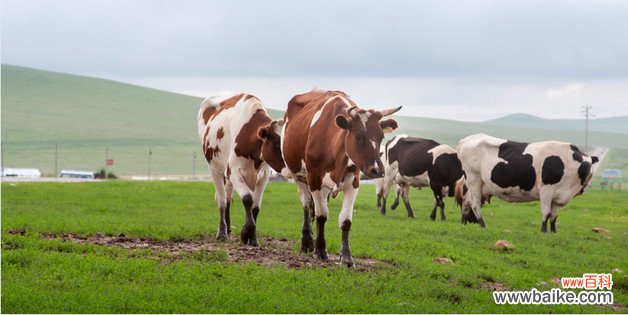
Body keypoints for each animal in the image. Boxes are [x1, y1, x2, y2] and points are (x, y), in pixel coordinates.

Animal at [196, 92, 284, 246]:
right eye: (276, 143)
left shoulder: (264, 176)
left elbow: (256, 206)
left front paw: (253, 238)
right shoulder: (234, 172)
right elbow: (248, 199)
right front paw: (245, 233)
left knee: (228, 198)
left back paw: (229, 230)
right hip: (215, 170)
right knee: (222, 200)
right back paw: (222, 232)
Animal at [282, 89, 400, 270]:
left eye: (381, 137)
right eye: (358, 136)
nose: (378, 170)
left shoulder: (354, 183)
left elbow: (345, 221)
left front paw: (346, 257)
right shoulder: (314, 178)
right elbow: (321, 216)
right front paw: (320, 250)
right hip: (299, 177)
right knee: (306, 204)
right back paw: (308, 242)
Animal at [456, 133, 600, 232]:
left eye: (591, 165)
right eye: (586, 166)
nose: (589, 174)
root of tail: (466, 140)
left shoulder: (557, 195)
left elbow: (554, 216)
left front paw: (553, 232)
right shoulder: (546, 189)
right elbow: (546, 212)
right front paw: (543, 232)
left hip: (480, 185)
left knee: (467, 201)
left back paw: (463, 223)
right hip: (474, 178)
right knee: (475, 204)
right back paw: (483, 226)